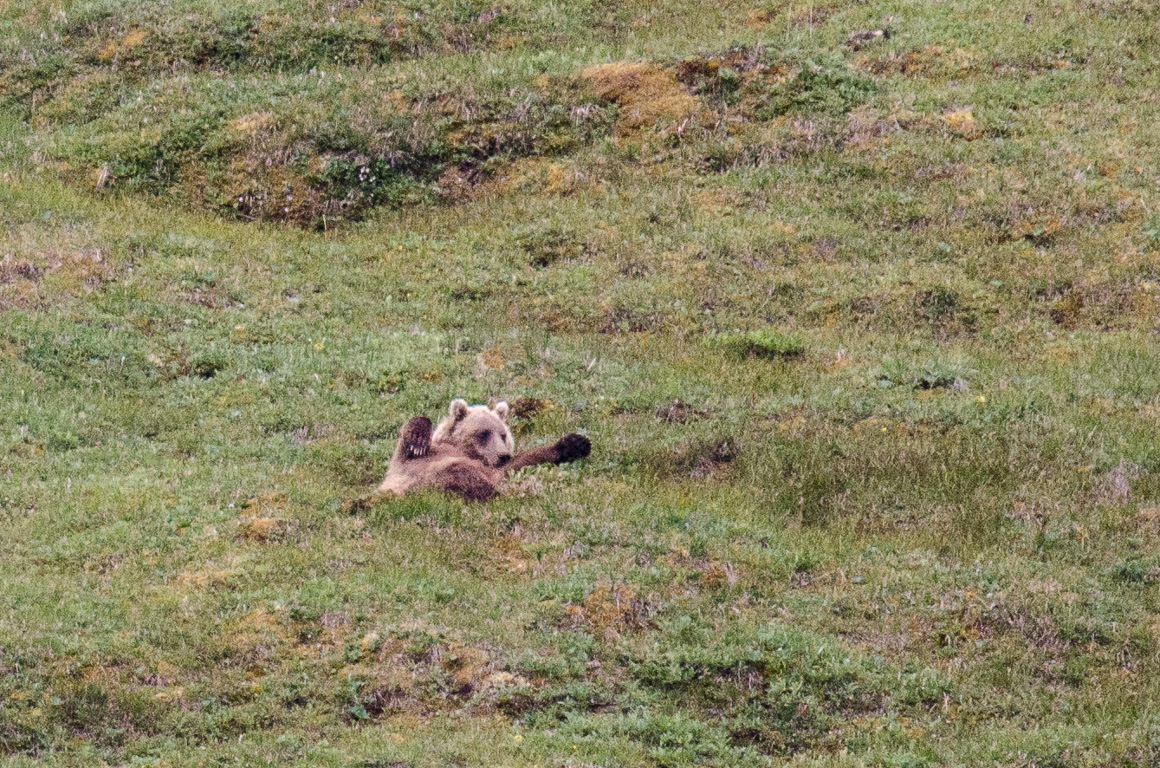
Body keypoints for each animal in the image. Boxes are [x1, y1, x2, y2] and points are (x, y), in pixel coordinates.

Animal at [373, 399, 593, 503]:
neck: (460, 450)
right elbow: (406, 447)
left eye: (503, 434)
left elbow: (518, 463)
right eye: (483, 433)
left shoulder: (493, 468)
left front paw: (575, 443)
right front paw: (418, 438)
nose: (503, 455)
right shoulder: (407, 464)